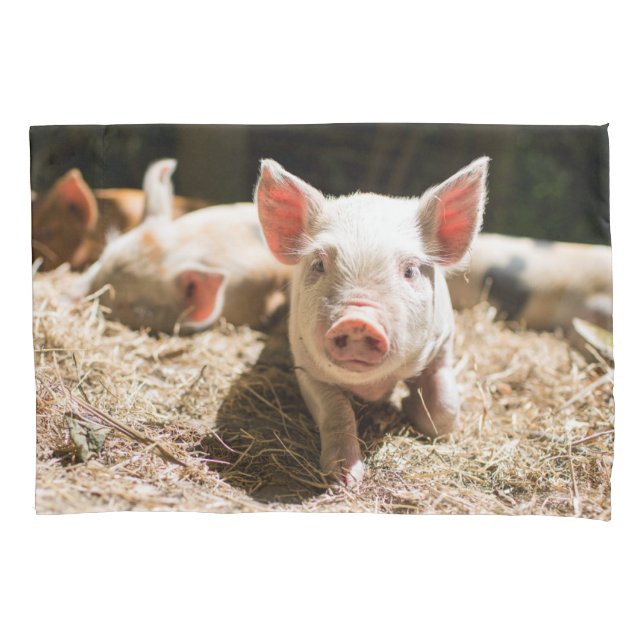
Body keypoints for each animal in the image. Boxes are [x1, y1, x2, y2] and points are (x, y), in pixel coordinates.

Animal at [254, 157, 490, 485]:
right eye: (319, 264)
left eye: (410, 270)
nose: (357, 320)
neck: (373, 387)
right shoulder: (306, 367)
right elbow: (337, 412)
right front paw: (343, 480)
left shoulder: (443, 344)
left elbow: (444, 410)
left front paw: (413, 409)